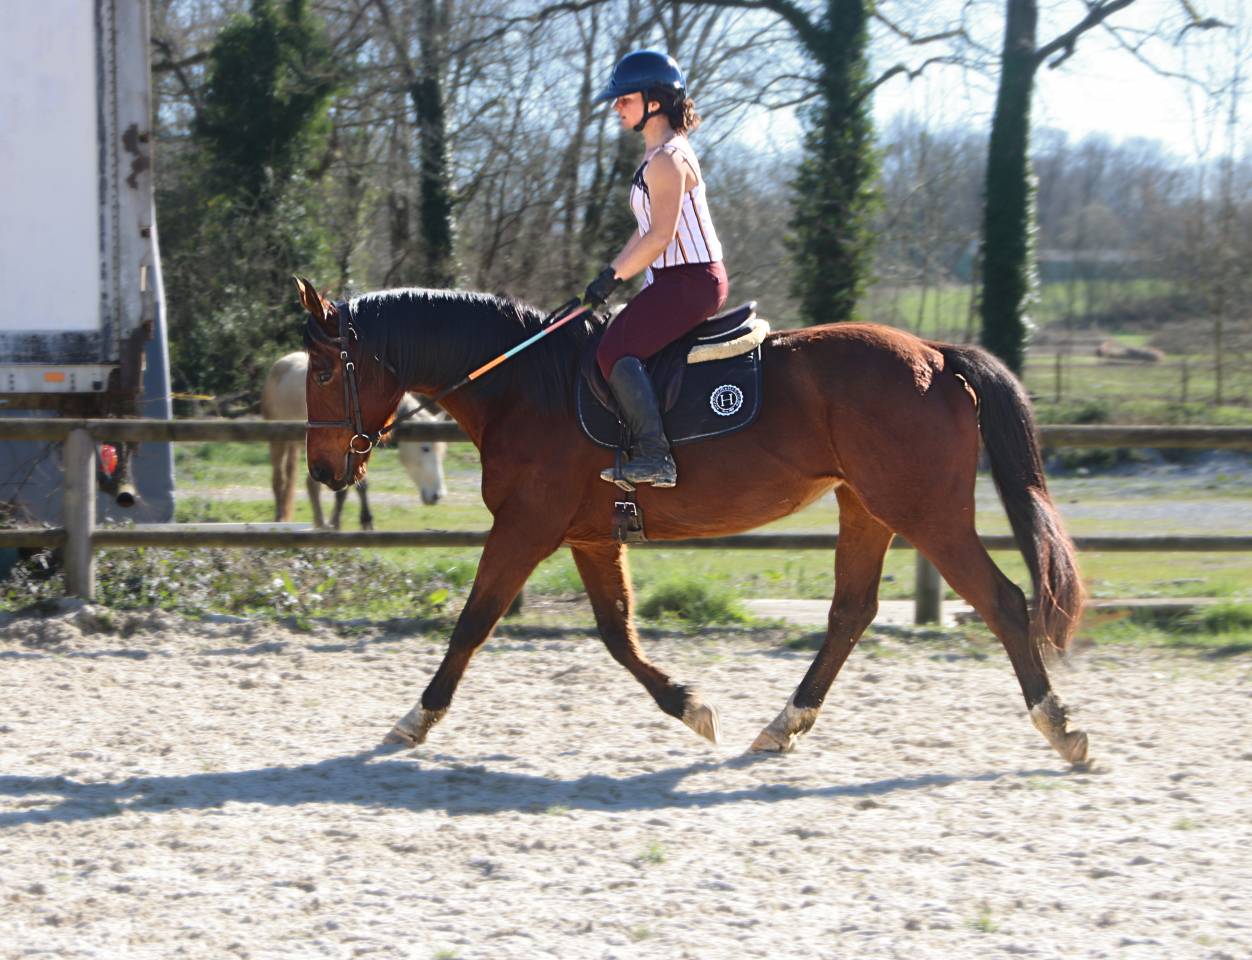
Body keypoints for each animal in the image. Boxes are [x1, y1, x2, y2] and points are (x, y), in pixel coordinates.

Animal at [261, 350, 447, 530]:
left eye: (442, 452)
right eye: (425, 448)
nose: (437, 496)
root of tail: (281, 363)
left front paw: (346, 521)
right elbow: (355, 485)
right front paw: (356, 520)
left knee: (308, 483)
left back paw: (319, 521)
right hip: (278, 441)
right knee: (279, 479)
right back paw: (281, 518)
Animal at [296, 278, 1089, 766]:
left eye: (326, 372)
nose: (324, 471)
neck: (523, 383)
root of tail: (935, 355)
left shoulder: (525, 527)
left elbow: (473, 622)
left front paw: (416, 717)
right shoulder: (587, 535)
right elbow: (617, 633)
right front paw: (688, 705)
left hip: (926, 514)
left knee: (1004, 603)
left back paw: (1059, 725)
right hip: (867, 509)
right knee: (850, 613)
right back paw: (783, 724)